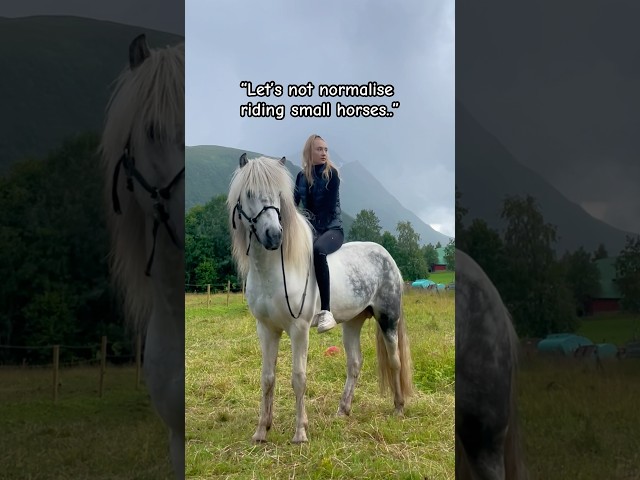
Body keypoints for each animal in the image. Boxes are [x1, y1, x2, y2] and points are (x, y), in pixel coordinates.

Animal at [227, 154, 413, 444]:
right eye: (248, 193)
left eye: (278, 194)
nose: (274, 235)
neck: (275, 271)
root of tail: (386, 255)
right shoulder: (266, 329)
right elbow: (267, 377)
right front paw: (261, 430)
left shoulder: (299, 329)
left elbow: (298, 378)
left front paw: (300, 432)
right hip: (353, 322)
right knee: (354, 364)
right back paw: (343, 409)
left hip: (388, 320)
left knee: (395, 361)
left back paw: (398, 407)